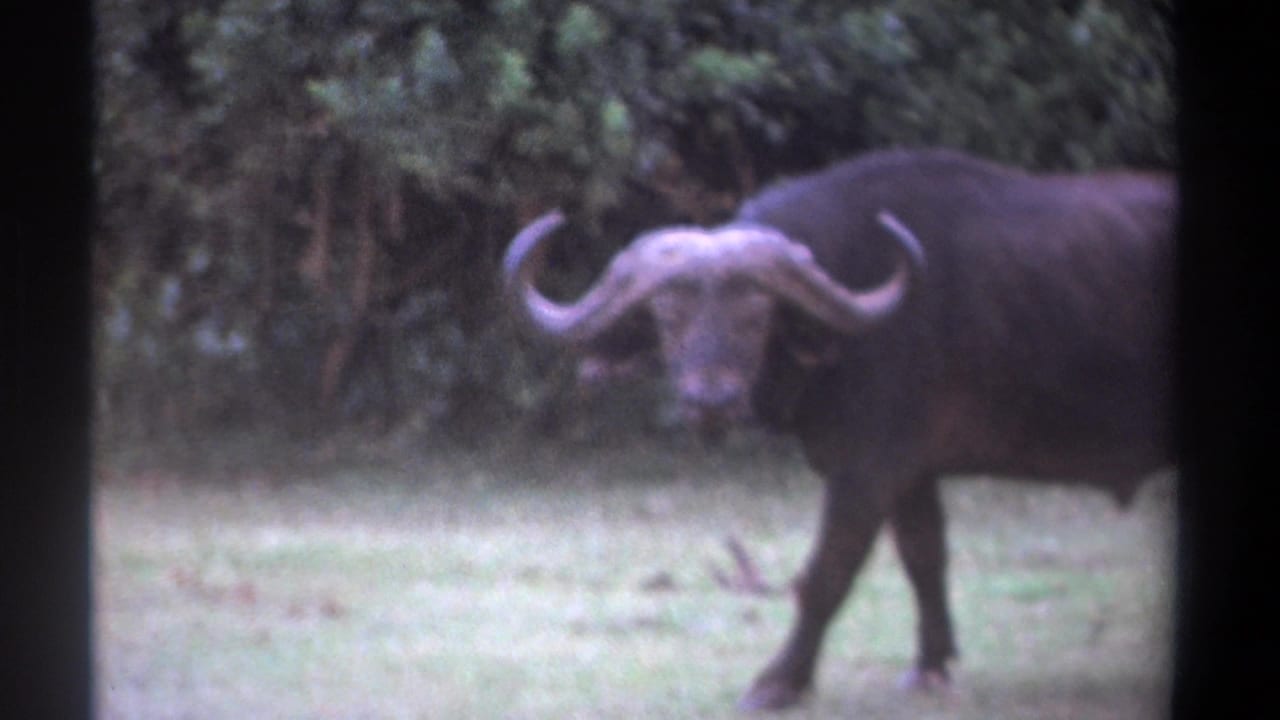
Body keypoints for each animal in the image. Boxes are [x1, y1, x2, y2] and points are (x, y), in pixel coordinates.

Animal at [502, 147, 1175, 710]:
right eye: (669, 317)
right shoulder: (911, 471)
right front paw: (930, 665)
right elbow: (925, 558)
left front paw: (779, 682)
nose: (711, 400)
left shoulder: (868, 470)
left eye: (757, 316)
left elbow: (826, 575)